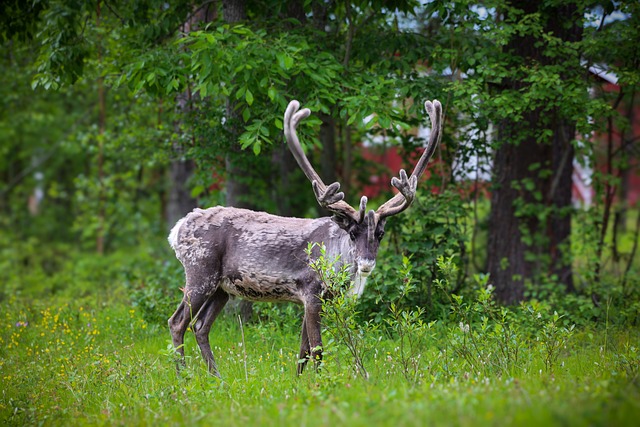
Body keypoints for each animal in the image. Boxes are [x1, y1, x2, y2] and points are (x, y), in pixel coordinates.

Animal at [168, 98, 443, 377]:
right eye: (352, 233)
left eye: (381, 234)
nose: (366, 264)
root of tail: (176, 230)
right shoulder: (311, 292)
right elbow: (317, 348)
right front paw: (322, 382)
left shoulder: (313, 299)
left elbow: (303, 350)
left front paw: (300, 381)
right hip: (200, 272)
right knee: (177, 322)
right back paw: (183, 376)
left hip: (222, 287)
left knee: (200, 325)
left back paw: (217, 377)